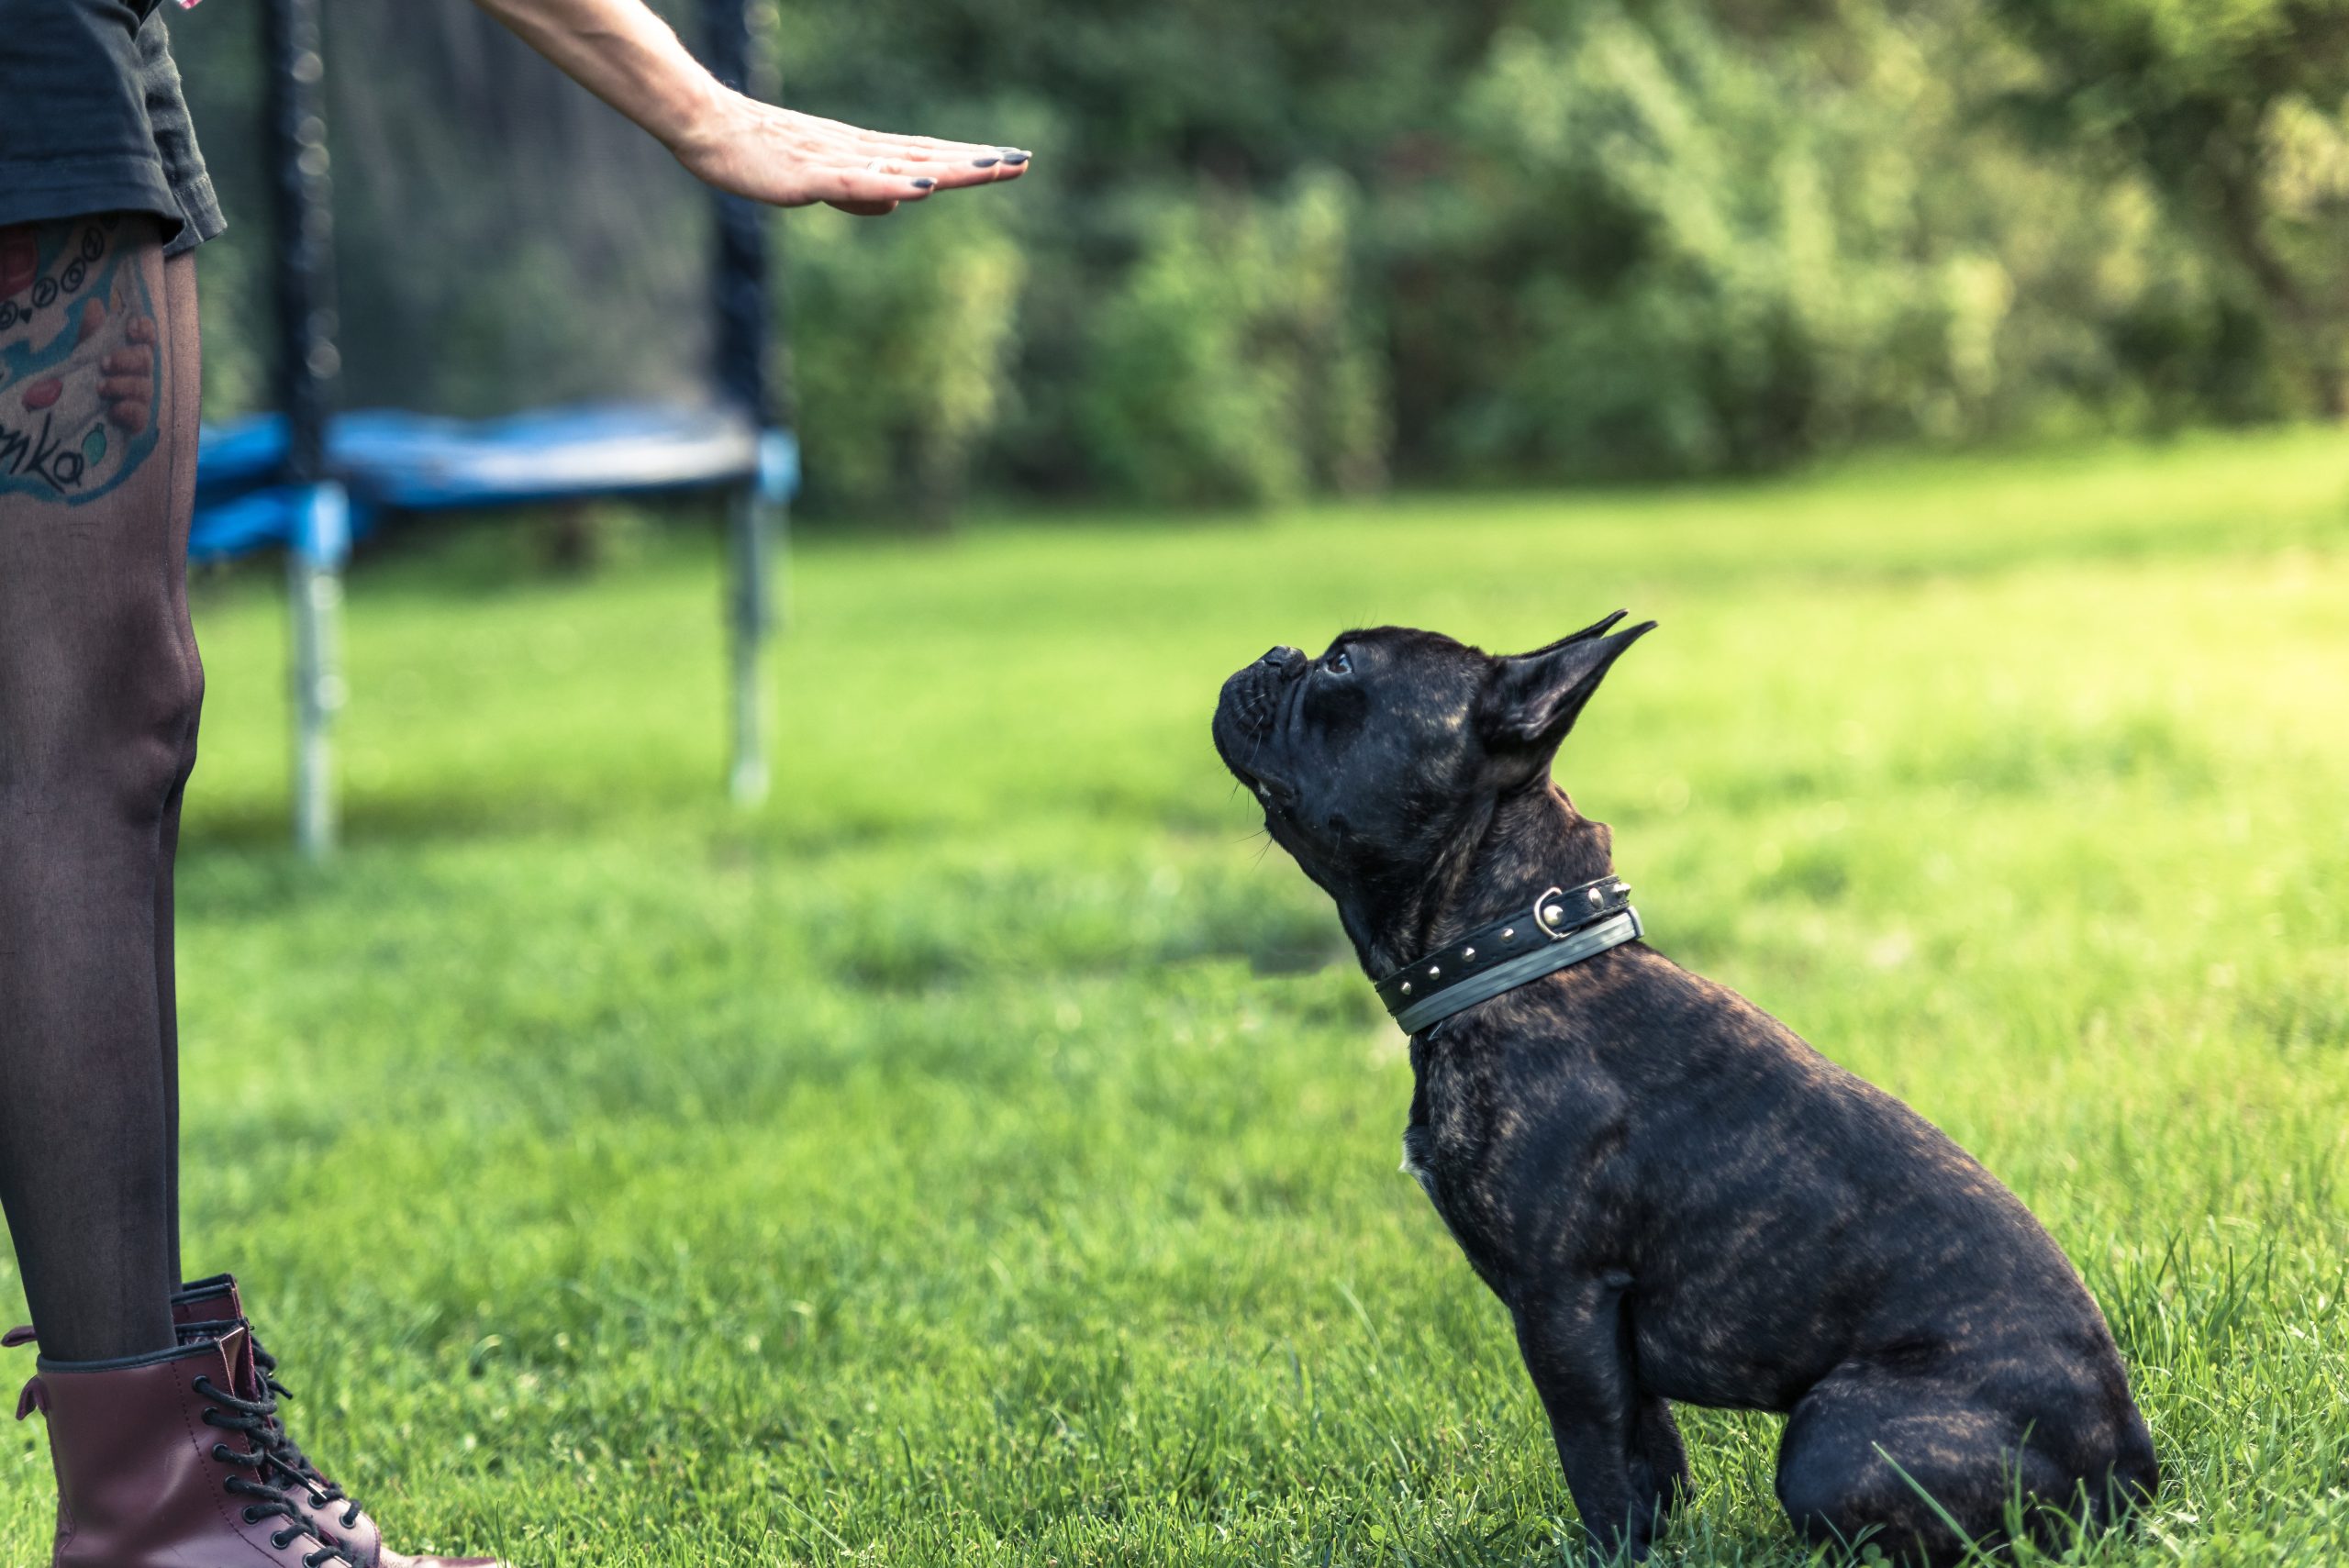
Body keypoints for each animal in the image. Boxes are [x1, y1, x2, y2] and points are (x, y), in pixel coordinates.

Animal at [1221, 619, 2151, 1558]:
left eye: (1343, 664)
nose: (1275, 655)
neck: (1516, 956)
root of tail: (2129, 1477)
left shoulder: (1563, 1303)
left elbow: (1594, 1455)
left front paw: (1607, 1554)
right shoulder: (1610, 1337)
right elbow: (1650, 1451)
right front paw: (1657, 1540)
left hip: (1831, 1438)